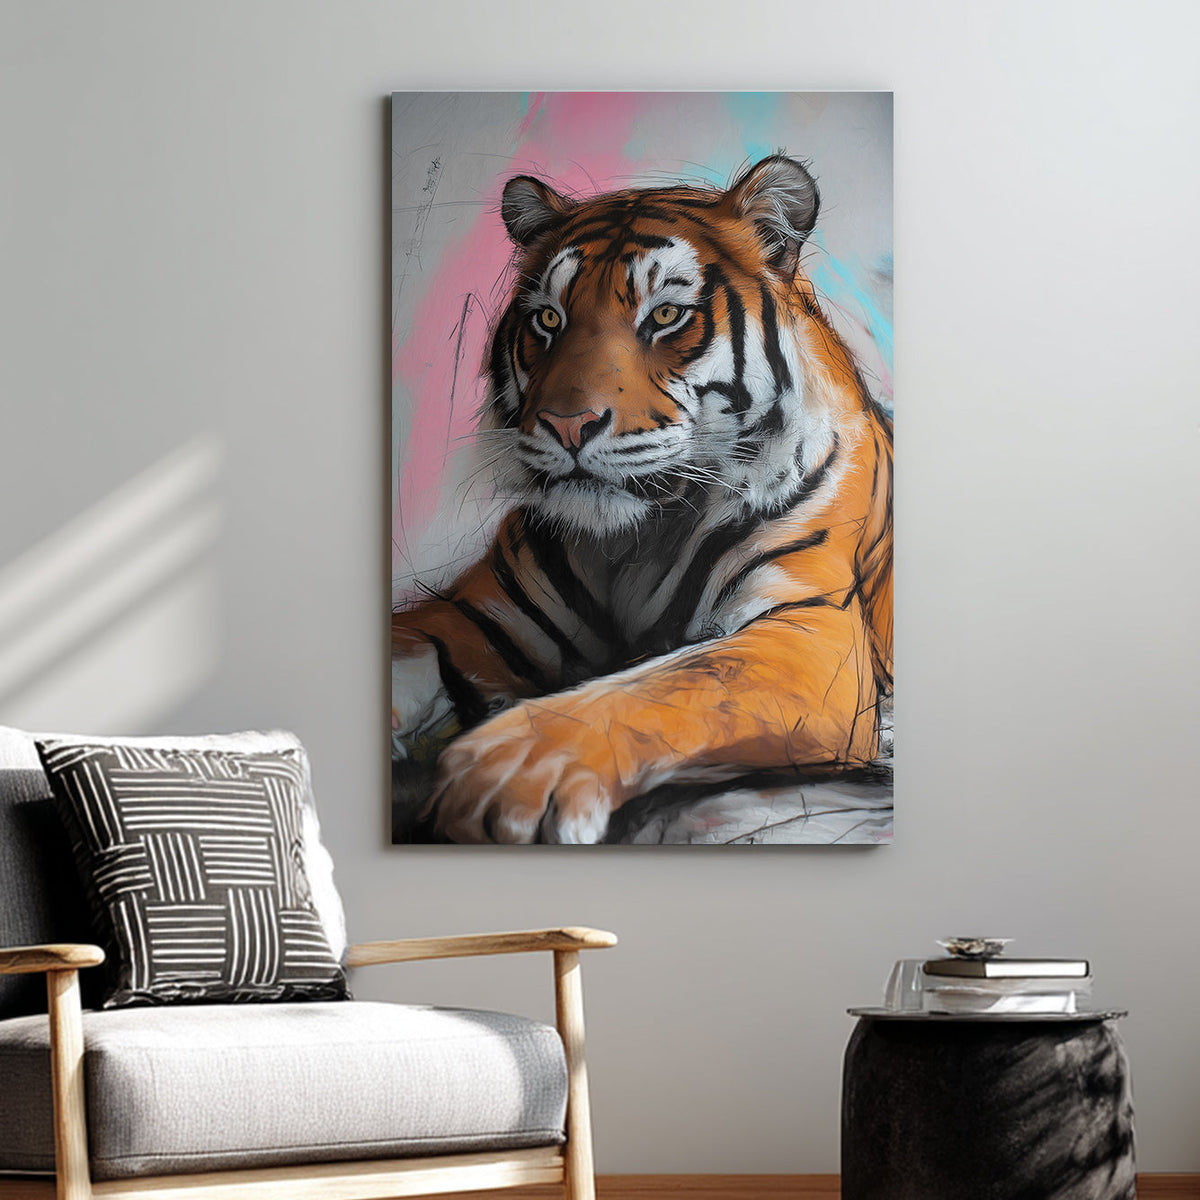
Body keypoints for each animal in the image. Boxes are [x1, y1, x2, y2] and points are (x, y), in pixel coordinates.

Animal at [391, 154, 893, 844]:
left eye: (664, 316)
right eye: (549, 319)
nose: (566, 424)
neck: (637, 541)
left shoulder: (809, 631)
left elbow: (674, 681)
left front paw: (505, 774)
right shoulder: (472, 615)